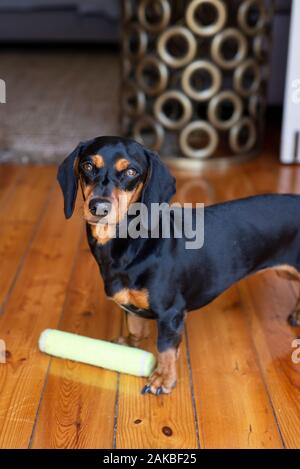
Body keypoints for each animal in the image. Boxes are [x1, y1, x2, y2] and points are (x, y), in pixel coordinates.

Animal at [57, 136, 300, 394]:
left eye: (132, 171)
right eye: (87, 166)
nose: (99, 207)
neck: (131, 244)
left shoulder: (170, 314)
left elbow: (165, 349)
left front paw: (163, 378)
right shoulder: (131, 306)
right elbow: (134, 327)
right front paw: (129, 347)